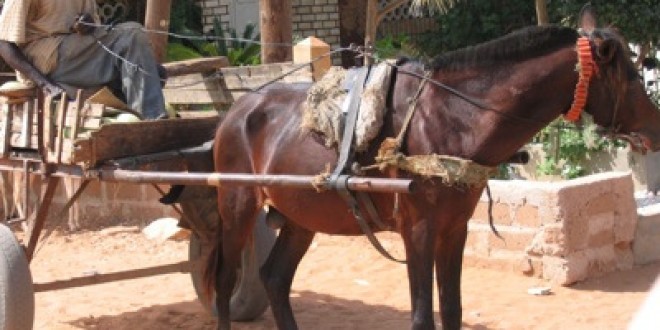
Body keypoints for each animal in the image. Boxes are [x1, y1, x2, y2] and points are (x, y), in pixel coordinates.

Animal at [206, 23, 660, 330]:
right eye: (632, 77)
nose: (655, 128)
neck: (453, 117)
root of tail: (236, 111)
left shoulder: (454, 228)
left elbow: (453, 310)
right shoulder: (418, 229)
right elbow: (424, 315)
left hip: (302, 214)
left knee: (275, 278)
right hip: (236, 203)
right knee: (225, 281)